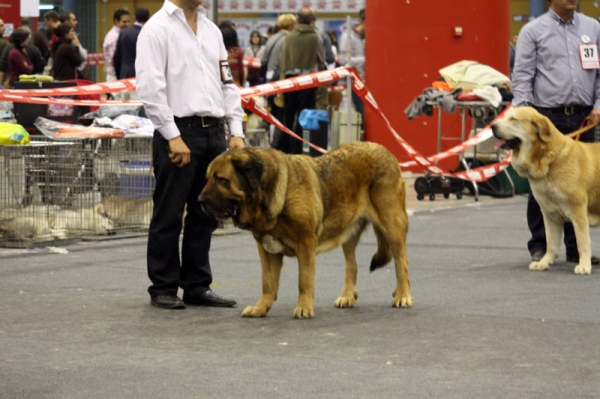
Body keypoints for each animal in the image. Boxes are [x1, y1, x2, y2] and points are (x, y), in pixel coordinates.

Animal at [199, 141, 410, 318]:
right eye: (207, 178)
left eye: (221, 179)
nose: (199, 201)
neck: (274, 194)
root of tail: (383, 149)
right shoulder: (266, 250)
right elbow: (267, 283)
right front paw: (260, 308)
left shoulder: (305, 243)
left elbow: (304, 280)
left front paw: (304, 308)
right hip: (348, 232)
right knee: (352, 265)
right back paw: (348, 296)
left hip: (391, 225)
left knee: (401, 261)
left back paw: (403, 295)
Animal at [490, 106, 600, 276]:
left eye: (513, 119)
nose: (492, 126)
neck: (550, 160)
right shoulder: (550, 213)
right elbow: (551, 243)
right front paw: (544, 262)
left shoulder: (578, 211)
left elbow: (582, 241)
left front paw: (584, 266)